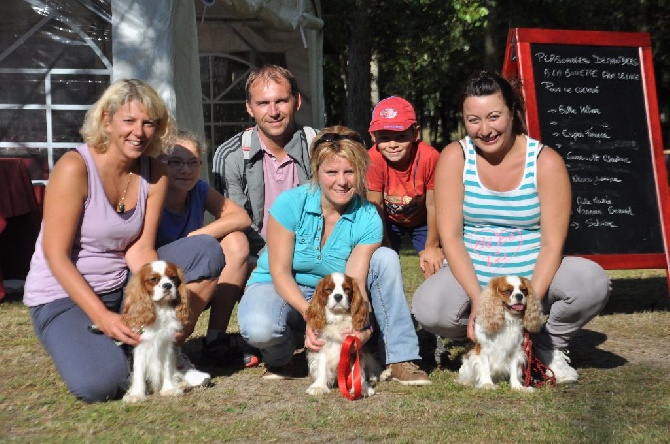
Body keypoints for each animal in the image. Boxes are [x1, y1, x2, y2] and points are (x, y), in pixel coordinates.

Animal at [121, 260, 192, 402]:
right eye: (154, 279)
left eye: (173, 278)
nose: (167, 285)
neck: (160, 308)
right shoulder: (140, 347)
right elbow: (138, 372)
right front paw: (136, 395)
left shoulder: (167, 346)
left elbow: (167, 368)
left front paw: (169, 389)